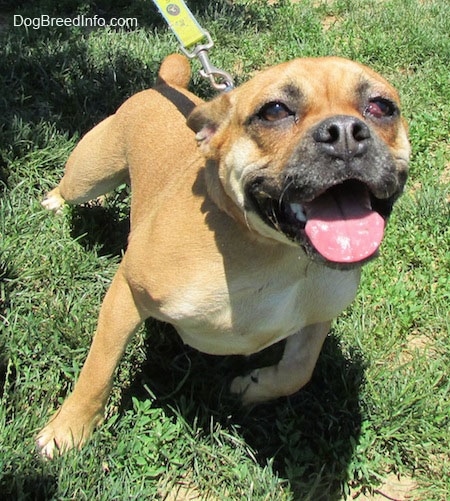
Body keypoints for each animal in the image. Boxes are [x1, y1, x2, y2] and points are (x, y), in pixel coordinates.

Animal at [37, 52, 410, 456]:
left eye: (381, 106)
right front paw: (69, 429)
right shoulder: (128, 293)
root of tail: (165, 87)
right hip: (89, 175)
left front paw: (251, 389)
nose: (343, 132)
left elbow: (297, 371)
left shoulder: (317, 318)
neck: (277, 253)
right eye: (274, 111)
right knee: (70, 186)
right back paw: (54, 201)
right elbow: (98, 370)